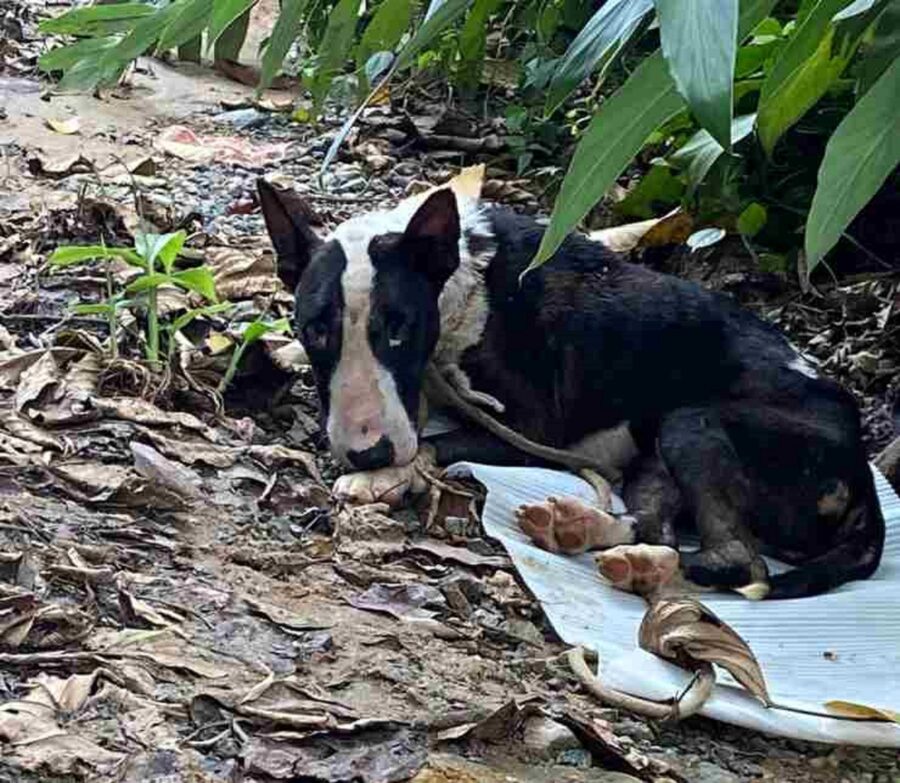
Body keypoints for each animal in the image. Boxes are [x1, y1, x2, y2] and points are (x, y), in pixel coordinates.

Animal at [256, 167, 884, 600]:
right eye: (316, 329)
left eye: (398, 328)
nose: (370, 453)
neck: (459, 277)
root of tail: (863, 481)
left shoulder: (533, 425)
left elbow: (436, 444)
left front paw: (382, 478)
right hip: (654, 460)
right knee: (657, 526)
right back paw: (585, 532)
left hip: (696, 421)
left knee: (737, 562)